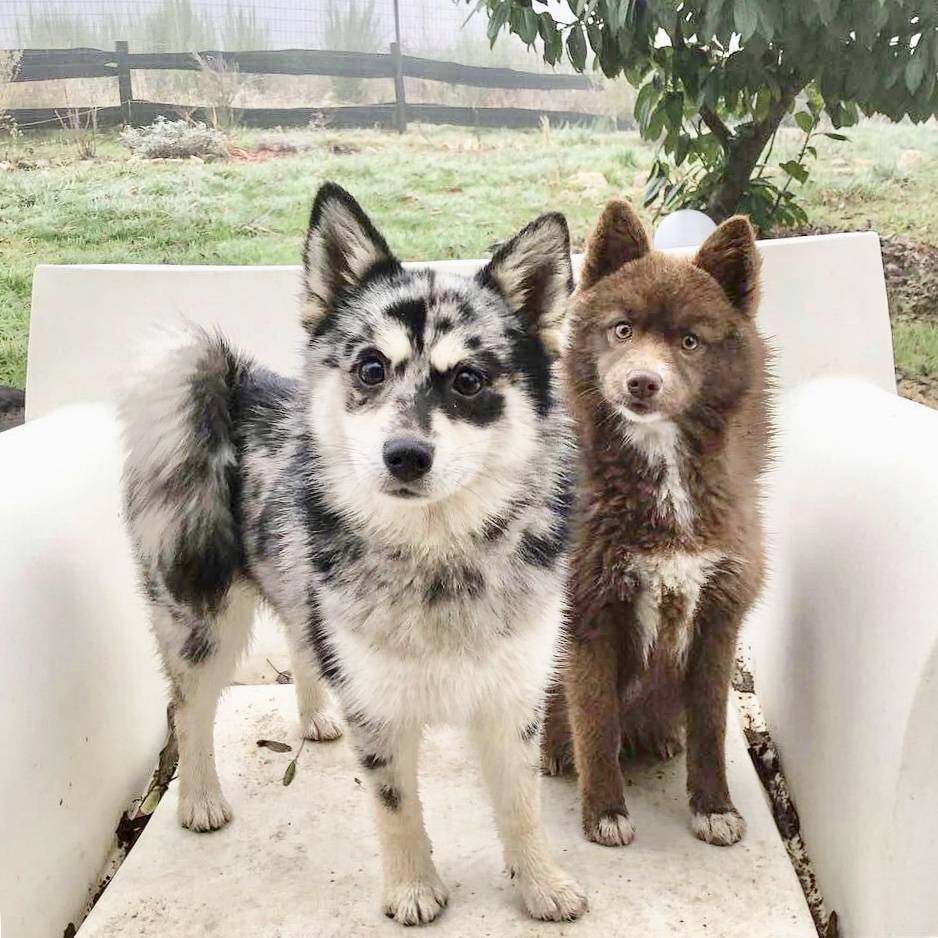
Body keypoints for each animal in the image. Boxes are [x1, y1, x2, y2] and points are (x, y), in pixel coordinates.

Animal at [540, 203, 768, 848]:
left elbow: (711, 727)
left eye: (690, 340)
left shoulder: (719, 618)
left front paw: (713, 806)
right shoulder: (588, 615)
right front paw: (604, 812)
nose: (642, 383)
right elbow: (594, 722)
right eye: (622, 329)